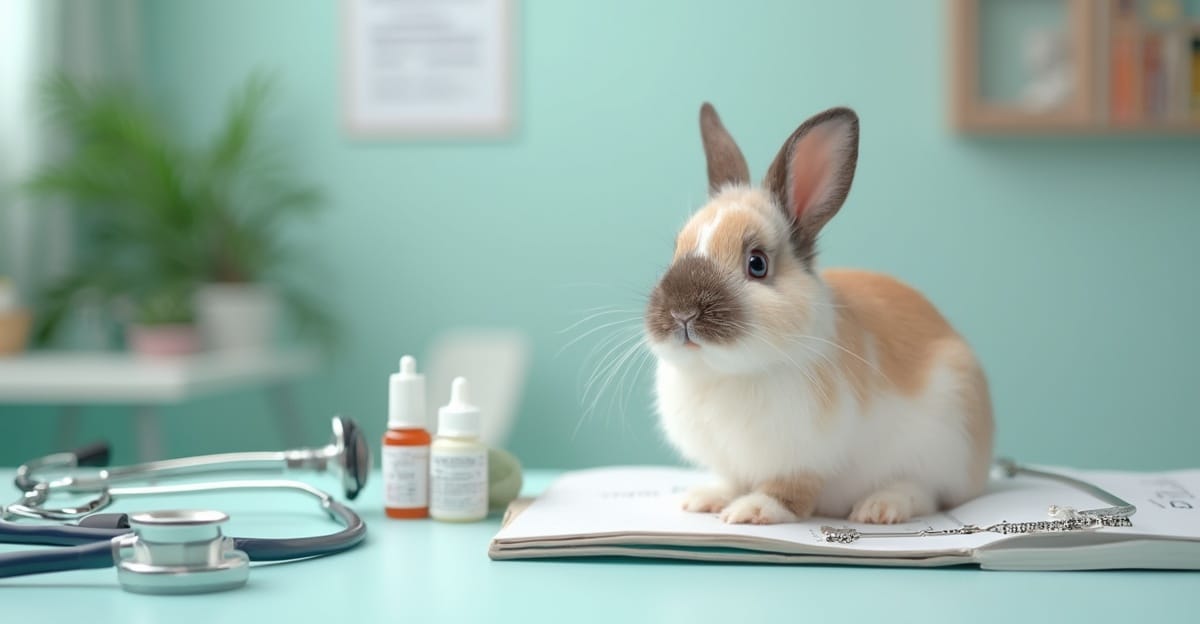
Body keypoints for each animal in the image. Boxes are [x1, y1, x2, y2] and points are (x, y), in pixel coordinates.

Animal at [644, 103, 993, 525]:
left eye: (757, 264)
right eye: (676, 252)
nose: (682, 313)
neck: (725, 373)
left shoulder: (803, 458)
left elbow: (790, 491)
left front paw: (752, 510)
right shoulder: (731, 461)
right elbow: (731, 479)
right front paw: (706, 499)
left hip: (944, 443)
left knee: (927, 493)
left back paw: (880, 508)